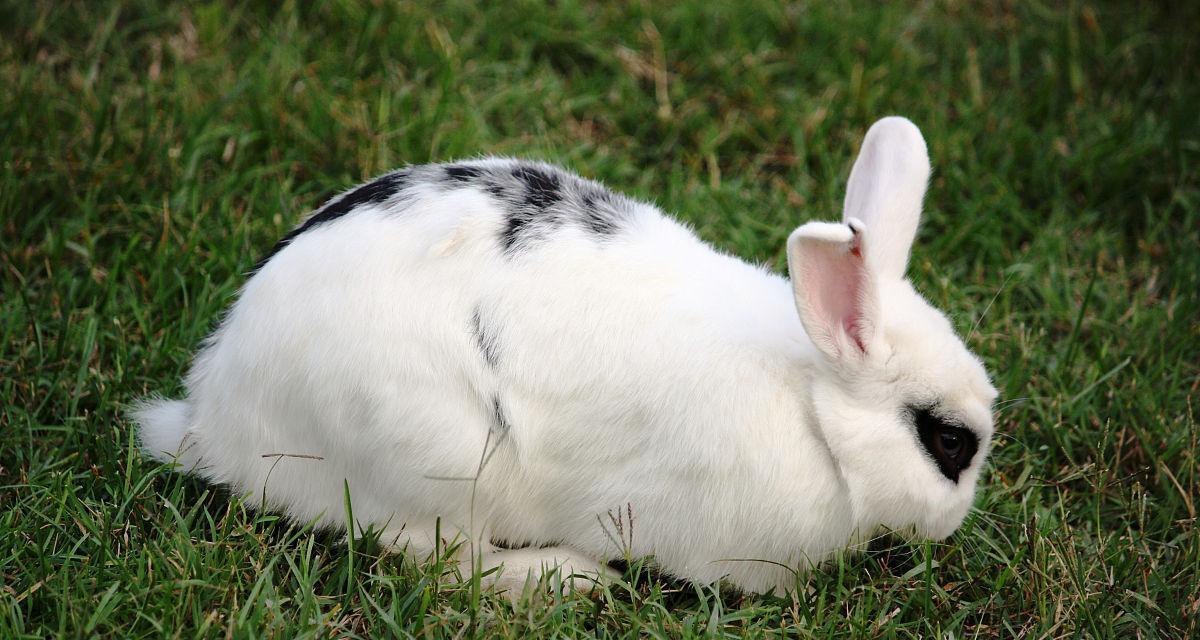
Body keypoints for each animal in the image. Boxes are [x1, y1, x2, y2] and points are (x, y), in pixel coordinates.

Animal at [133, 115, 993, 593]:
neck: (811, 403)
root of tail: (214, 418)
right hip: (436, 460)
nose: (955, 522)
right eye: (948, 441)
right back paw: (565, 578)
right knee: (438, 559)